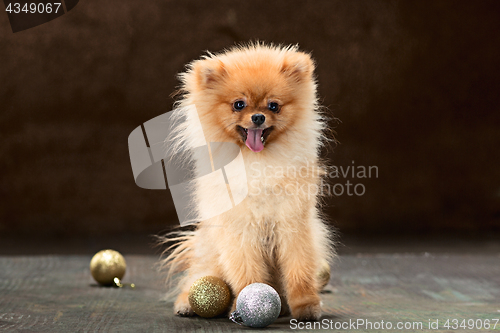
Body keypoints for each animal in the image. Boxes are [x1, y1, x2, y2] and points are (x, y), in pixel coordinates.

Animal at [163, 42, 332, 320]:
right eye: (239, 105)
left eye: (273, 106)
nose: (258, 117)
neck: (256, 161)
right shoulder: (240, 230)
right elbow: (247, 272)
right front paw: (248, 300)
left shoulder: (292, 223)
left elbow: (299, 268)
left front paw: (305, 306)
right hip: (209, 255)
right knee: (198, 276)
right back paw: (187, 303)